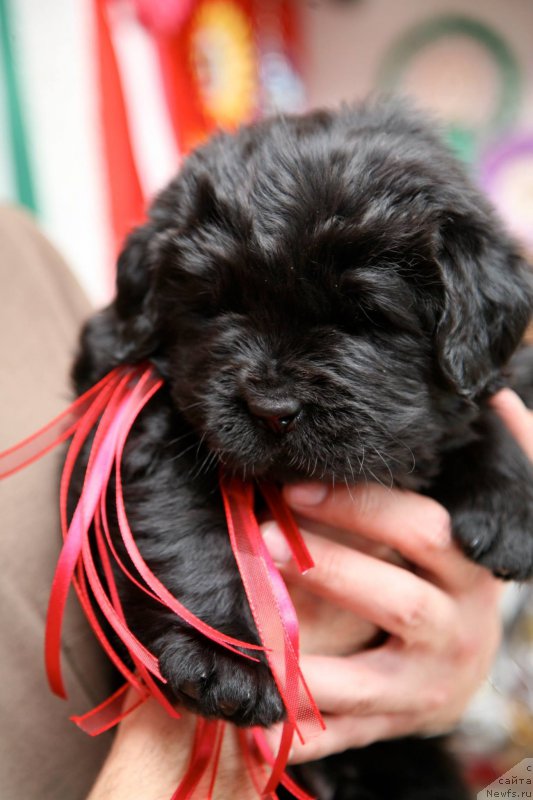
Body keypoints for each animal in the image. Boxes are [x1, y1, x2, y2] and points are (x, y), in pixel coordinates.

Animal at [71, 103, 532, 796]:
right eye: (215, 305)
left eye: (365, 316)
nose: (272, 409)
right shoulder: (135, 417)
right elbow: (179, 526)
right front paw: (225, 656)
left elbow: (481, 413)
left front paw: (509, 508)